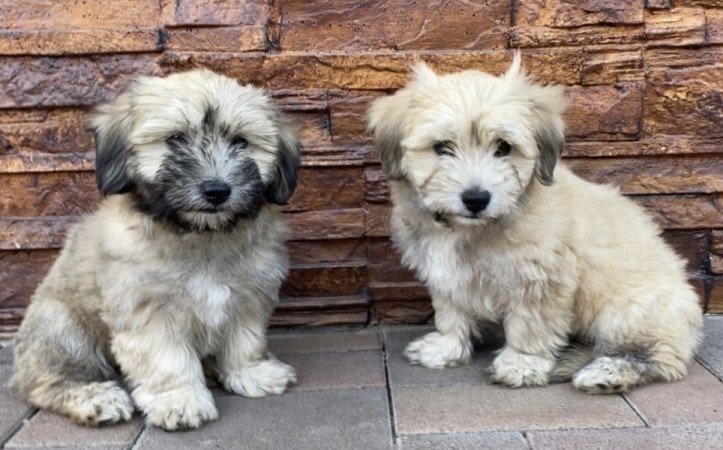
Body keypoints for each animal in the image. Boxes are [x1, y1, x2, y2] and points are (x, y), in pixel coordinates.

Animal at [14, 69, 302, 428]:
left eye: (240, 142)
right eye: (175, 139)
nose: (216, 190)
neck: (201, 235)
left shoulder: (249, 294)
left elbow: (245, 339)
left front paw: (251, 373)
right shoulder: (148, 307)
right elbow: (166, 359)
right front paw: (179, 400)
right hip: (62, 327)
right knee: (42, 382)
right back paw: (95, 398)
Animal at [368, 53, 700, 394]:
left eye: (503, 147)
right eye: (442, 147)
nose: (476, 198)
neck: (471, 229)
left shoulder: (541, 279)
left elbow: (531, 326)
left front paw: (521, 365)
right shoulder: (446, 274)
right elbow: (451, 312)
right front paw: (446, 348)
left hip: (632, 311)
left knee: (660, 357)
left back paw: (608, 373)